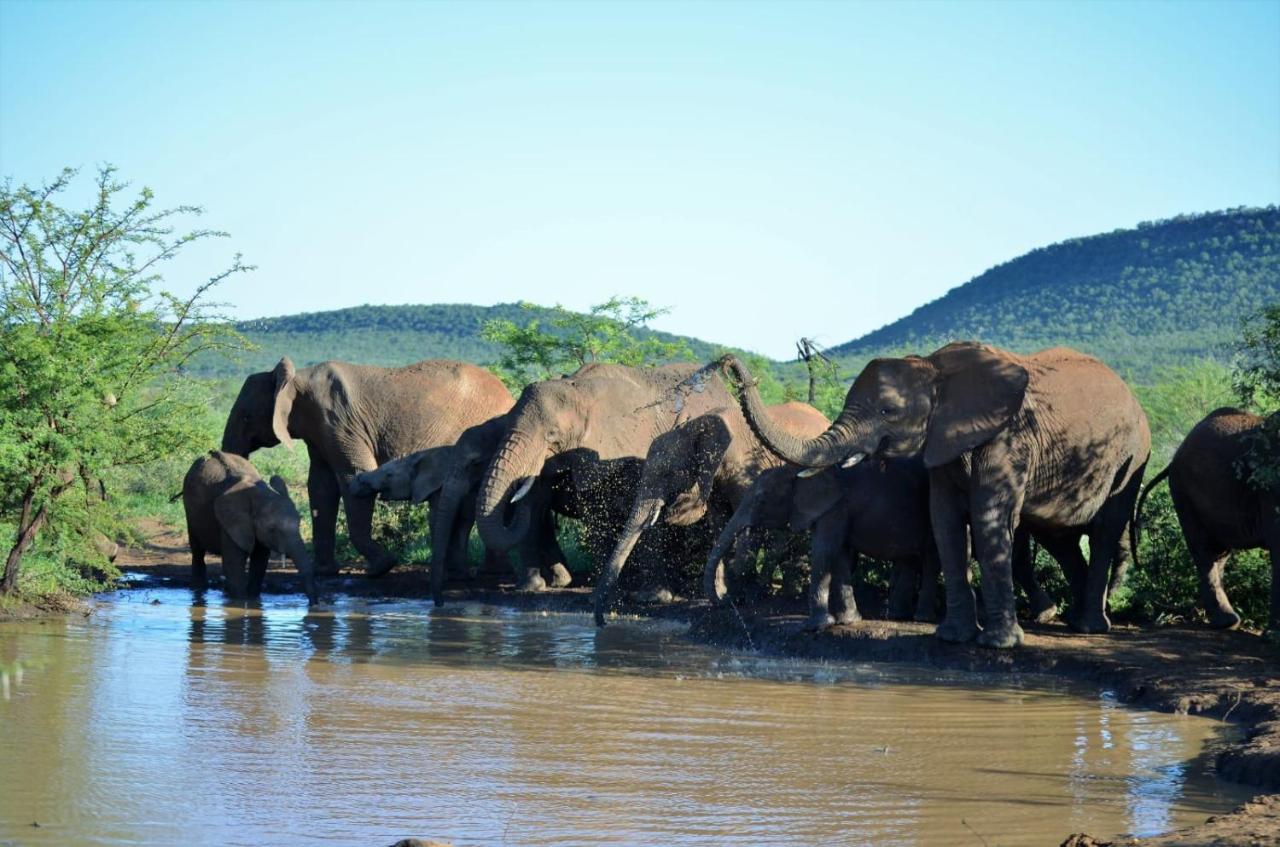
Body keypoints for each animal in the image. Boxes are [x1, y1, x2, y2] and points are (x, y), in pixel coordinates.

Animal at [181, 450, 316, 603]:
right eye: (272, 529)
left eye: (299, 524)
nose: (315, 605)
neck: (260, 494)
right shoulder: (230, 522)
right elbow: (234, 565)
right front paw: (240, 603)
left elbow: (259, 563)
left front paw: (253, 600)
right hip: (190, 510)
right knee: (198, 553)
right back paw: (198, 591)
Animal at [222, 355, 512, 580]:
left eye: (246, 417)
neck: (295, 379)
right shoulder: (319, 430)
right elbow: (321, 485)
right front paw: (325, 572)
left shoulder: (339, 422)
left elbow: (351, 474)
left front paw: (381, 567)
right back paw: (488, 572)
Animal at [591, 401, 824, 626]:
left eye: (668, 474)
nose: (603, 622)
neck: (696, 429)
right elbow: (720, 524)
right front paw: (726, 596)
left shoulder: (744, 471)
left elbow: (747, 526)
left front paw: (741, 597)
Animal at [721, 345, 1152, 649]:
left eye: (888, 410)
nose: (729, 364)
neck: (935, 369)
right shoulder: (945, 442)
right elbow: (944, 520)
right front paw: (953, 637)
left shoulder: (1008, 438)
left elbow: (987, 517)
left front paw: (998, 644)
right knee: (1059, 536)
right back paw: (1071, 619)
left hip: (1133, 455)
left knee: (1106, 527)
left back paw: (1090, 626)